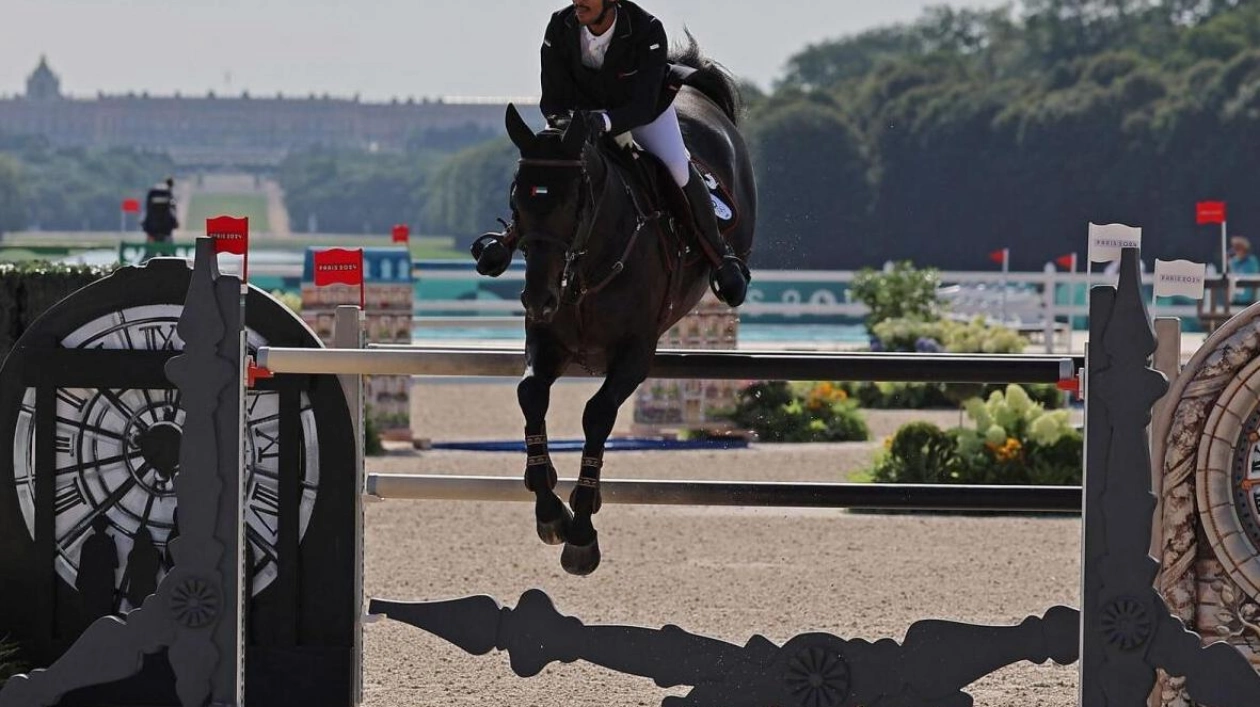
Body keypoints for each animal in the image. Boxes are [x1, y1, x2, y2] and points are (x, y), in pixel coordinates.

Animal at [504, 40, 756, 574]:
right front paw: (548, 509)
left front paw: (580, 531)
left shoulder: (636, 351)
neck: (584, 270)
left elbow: (597, 415)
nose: (538, 297)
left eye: (575, 200)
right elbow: (531, 395)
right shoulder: (546, 340)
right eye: (517, 199)